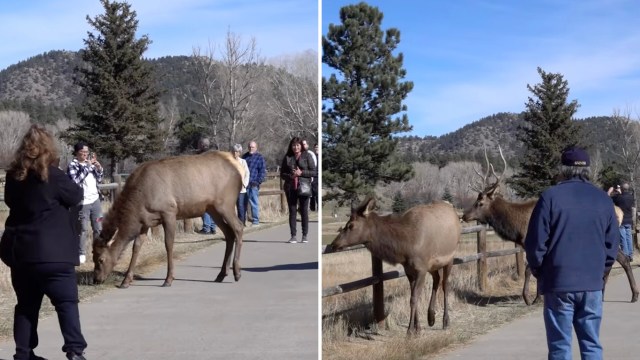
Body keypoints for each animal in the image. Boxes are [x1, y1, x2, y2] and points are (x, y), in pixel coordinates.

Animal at [92, 150, 245, 288]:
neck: (139, 203)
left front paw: (169, 279)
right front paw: (126, 281)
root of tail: (238, 172)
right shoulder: (145, 221)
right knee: (229, 233)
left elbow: (168, 244)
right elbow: (136, 247)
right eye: (93, 256)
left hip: (225, 204)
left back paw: (237, 272)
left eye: (101, 259)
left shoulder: (169, 212)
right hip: (212, 209)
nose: (96, 280)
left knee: (238, 227)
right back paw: (221, 274)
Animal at [330, 197, 460, 334]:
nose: (334, 244)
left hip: (450, 258)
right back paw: (431, 317)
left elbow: (413, 298)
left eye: (351, 225)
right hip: (433, 265)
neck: (404, 248)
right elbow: (414, 296)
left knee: (445, 285)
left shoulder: (421, 269)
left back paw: (446, 321)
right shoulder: (409, 270)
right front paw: (418, 328)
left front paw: (410, 331)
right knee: (437, 279)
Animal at [462, 146, 636, 304]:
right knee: (622, 259)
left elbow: (530, 270)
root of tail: (619, 212)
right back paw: (626, 294)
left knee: (618, 260)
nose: (464, 215)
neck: (516, 228)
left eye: (480, 203)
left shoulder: (535, 243)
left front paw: (532, 298)